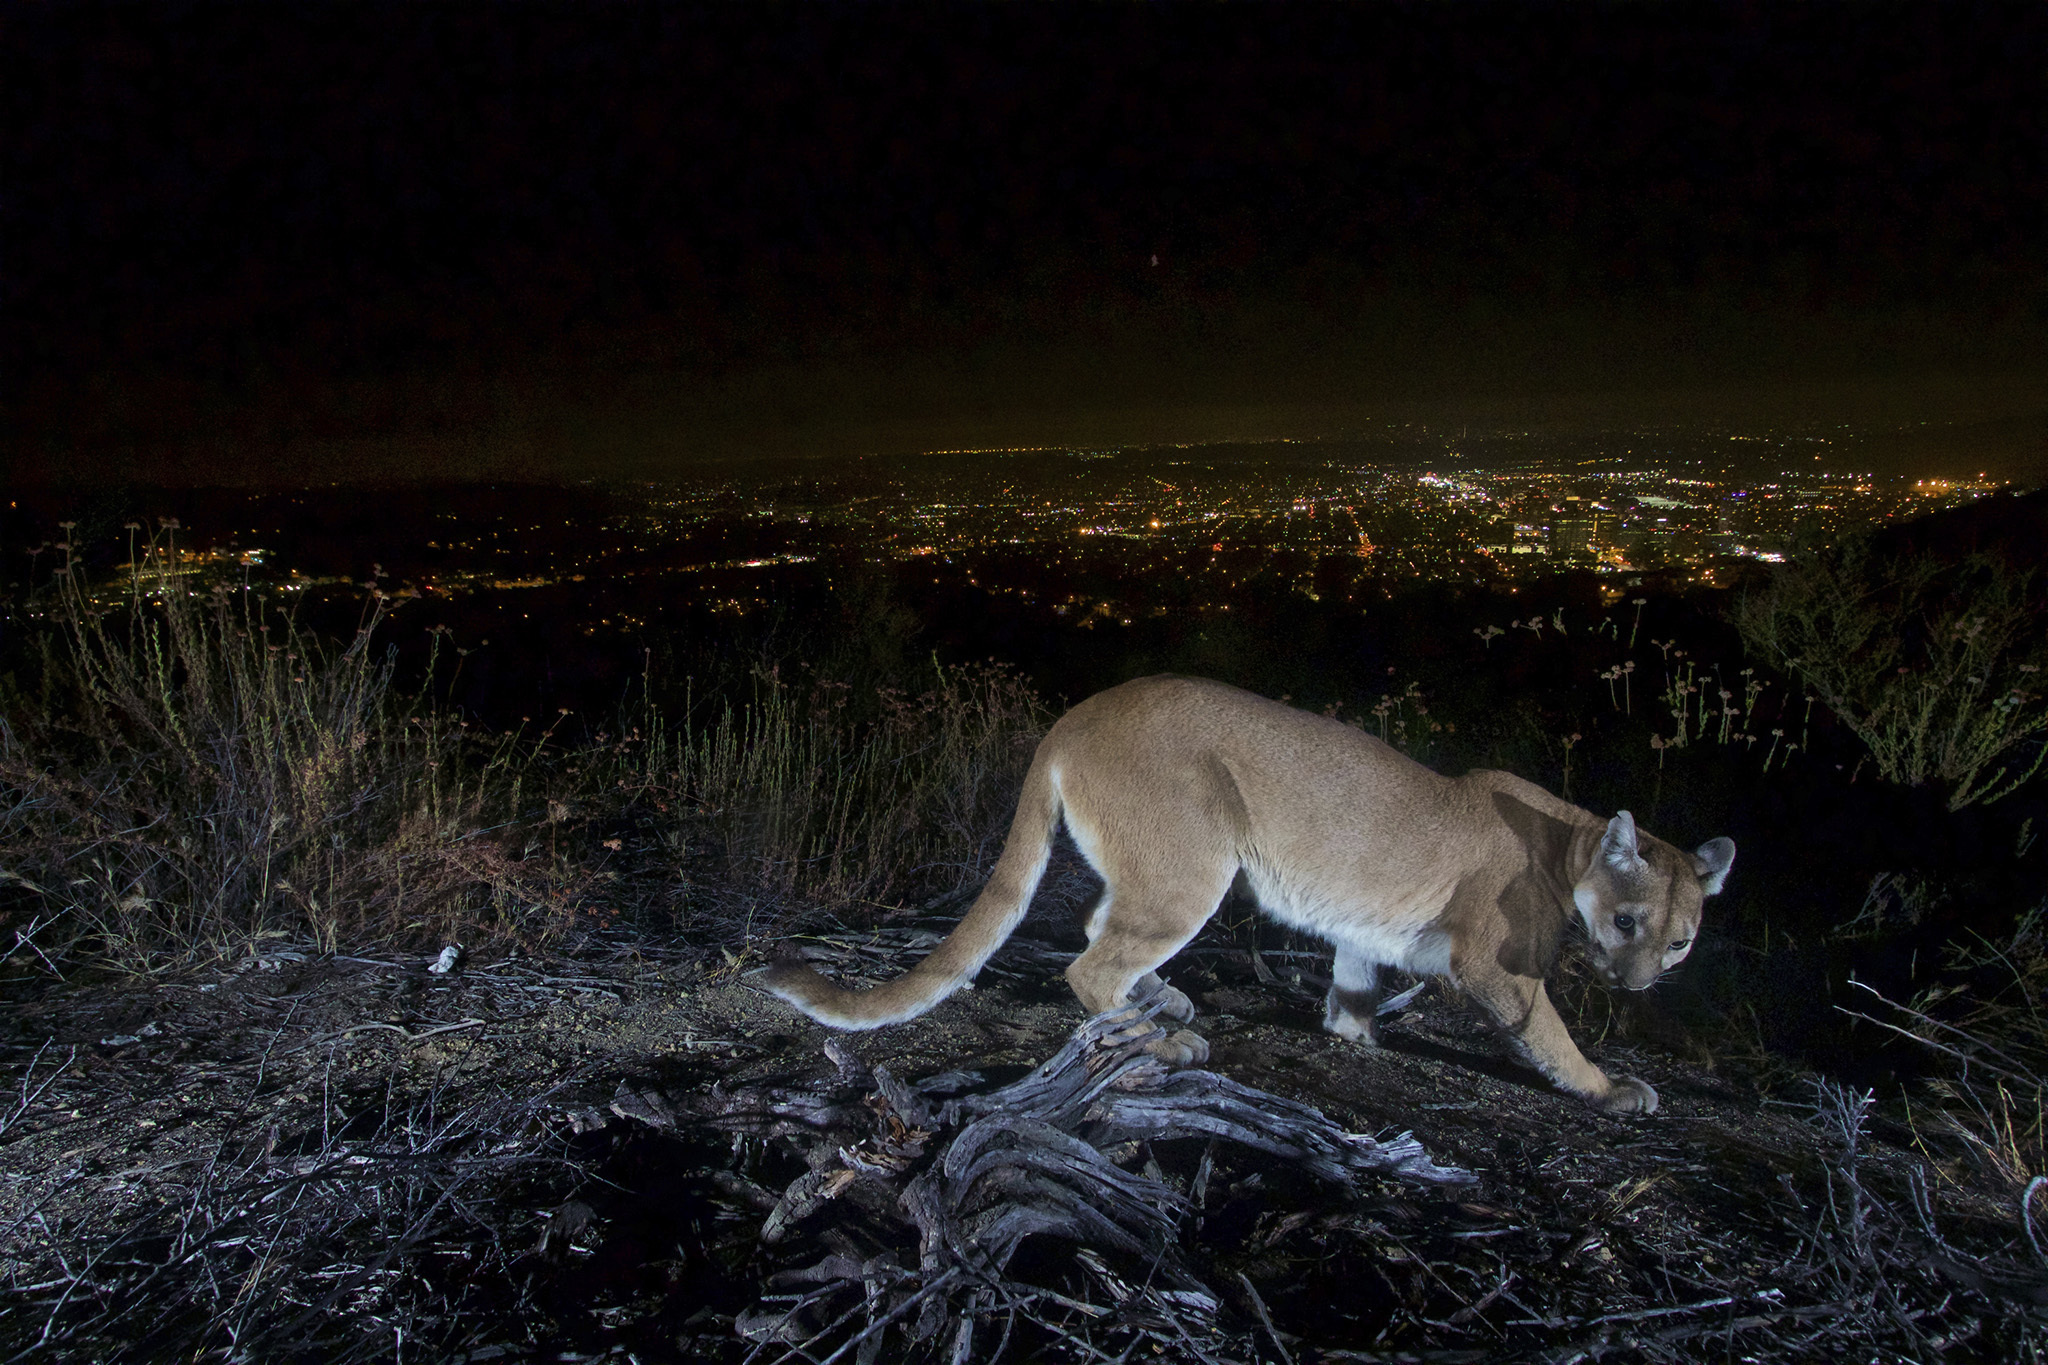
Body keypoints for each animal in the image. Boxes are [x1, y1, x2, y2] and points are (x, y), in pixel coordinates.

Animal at [761, 679, 1736, 1113]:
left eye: (1680, 939)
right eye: (1627, 920)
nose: (1639, 983)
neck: (1570, 841)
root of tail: (1074, 713)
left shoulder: (1364, 929)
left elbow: (1353, 983)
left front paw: (1355, 1035)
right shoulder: (1497, 965)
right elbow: (1550, 1032)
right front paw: (1611, 1088)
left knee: (1098, 925)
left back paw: (1164, 999)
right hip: (1197, 863)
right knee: (1090, 961)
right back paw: (1164, 1034)